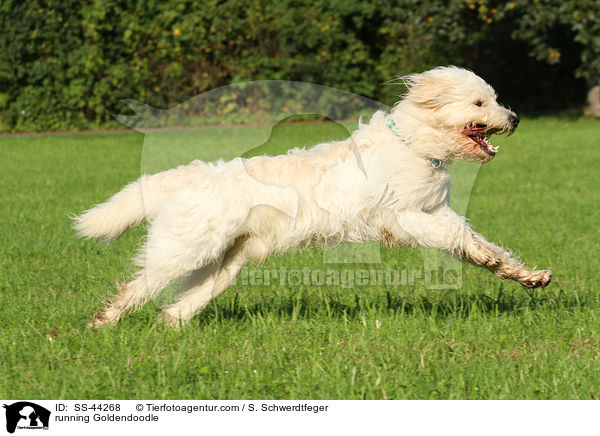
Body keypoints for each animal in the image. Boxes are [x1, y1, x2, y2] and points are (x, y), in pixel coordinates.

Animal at [76, 65, 552, 328]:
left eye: (494, 99)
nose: (514, 118)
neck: (415, 145)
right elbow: (454, 238)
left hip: (223, 266)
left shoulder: (436, 210)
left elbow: (476, 242)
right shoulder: (405, 217)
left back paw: (169, 326)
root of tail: (191, 176)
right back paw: (103, 322)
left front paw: (520, 274)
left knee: (179, 305)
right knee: (137, 286)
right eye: (478, 104)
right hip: (183, 252)